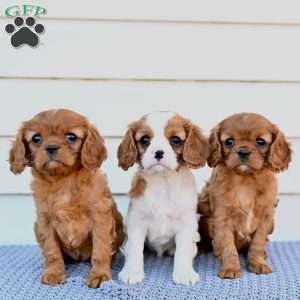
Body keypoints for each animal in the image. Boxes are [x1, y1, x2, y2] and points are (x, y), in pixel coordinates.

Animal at [8, 109, 123, 288]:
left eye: (71, 136)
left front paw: (100, 275)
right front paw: (53, 273)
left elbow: (100, 249)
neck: (62, 179)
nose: (51, 147)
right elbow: (51, 250)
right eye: (36, 138)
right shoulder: (44, 221)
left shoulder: (100, 217)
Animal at [117, 111, 209, 284]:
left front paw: (184, 273)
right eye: (145, 140)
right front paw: (132, 272)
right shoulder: (136, 222)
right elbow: (135, 249)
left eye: (176, 140)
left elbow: (183, 251)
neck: (163, 181)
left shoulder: (186, 224)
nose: (158, 152)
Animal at [198, 112, 292, 278]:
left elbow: (258, 243)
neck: (245, 179)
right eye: (229, 141)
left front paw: (258, 263)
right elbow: (228, 246)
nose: (243, 152)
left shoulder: (266, 218)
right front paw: (230, 268)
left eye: (260, 142)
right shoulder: (222, 218)